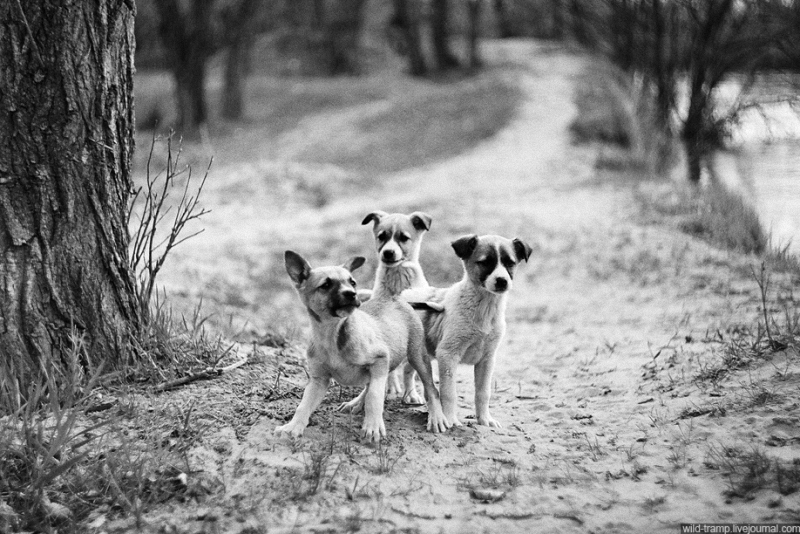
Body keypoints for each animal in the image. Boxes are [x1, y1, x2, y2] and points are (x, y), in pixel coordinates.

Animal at [276, 251, 450, 444]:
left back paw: (437, 418)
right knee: (370, 384)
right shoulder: (318, 380)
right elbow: (303, 405)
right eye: (326, 285)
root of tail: (399, 299)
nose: (351, 294)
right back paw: (356, 403)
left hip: (417, 356)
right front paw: (293, 427)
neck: (333, 334)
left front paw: (373, 427)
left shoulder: (380, 359)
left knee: (430, 388)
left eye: (352, 282)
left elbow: (375, 396)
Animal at [406, 234, 532, 432]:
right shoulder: (448, 354)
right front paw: (450, 420)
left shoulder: (487, 359)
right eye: (485, 262)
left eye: (510, 263)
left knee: (407, 370)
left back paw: (410, 396)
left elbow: (483, 392)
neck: (485, 307)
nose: (502, 281)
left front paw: (485, 420)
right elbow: (449, 392)